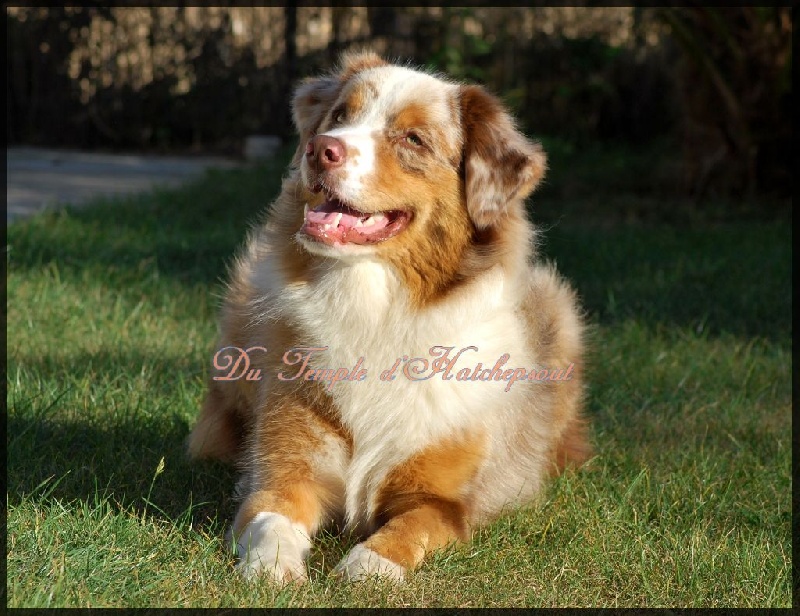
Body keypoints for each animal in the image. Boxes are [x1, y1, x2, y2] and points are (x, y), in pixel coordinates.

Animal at [186, 51, 588, 584]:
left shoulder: (443, 501)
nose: (321, 150)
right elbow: (269, 518)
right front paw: (271, 566)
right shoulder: (287, 470)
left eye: (413, 139)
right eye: (340, 115)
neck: (376, 312)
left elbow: (407, 530)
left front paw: (367, 567)